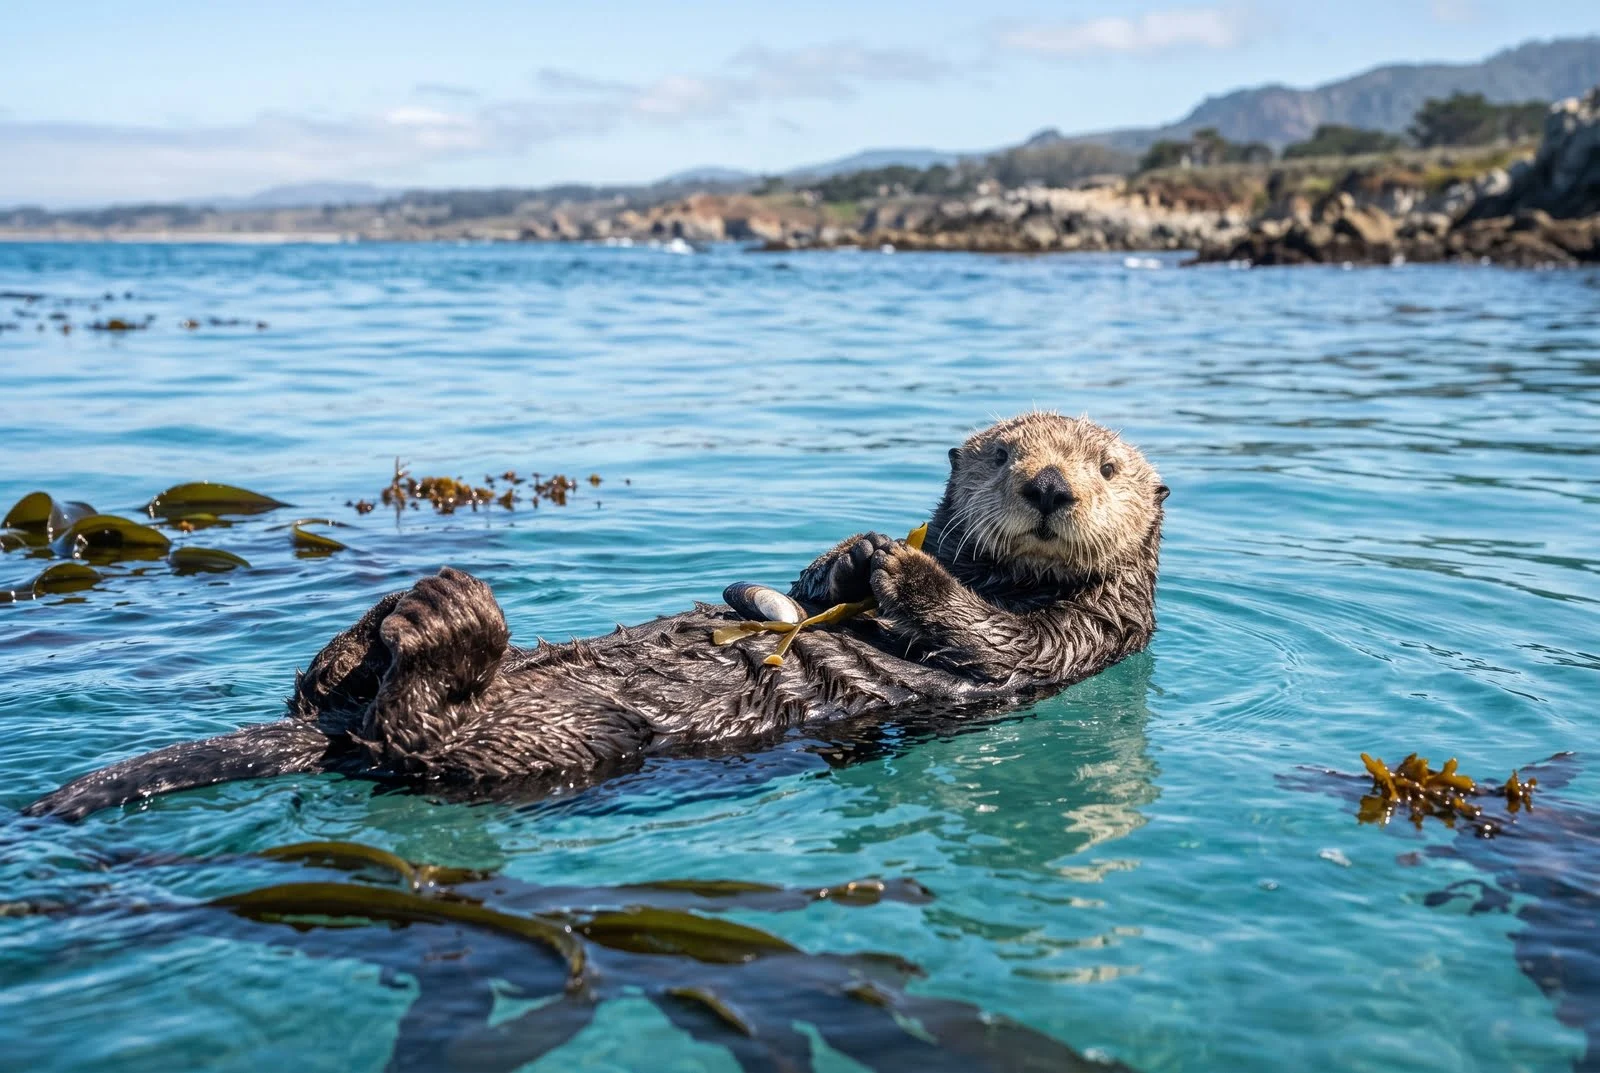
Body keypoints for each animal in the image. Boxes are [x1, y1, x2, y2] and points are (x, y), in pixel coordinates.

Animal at [26, 412, 1168, 821]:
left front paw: (906, 570)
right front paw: (853, 552)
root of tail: (336, 739)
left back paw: (442, 623)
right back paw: (394, 613)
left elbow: (991, 635)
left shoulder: (1084, 640)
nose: (1050, 487)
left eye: (1107, 468)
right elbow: (807, 595)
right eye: (1004, 452)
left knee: (421, 735)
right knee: (328, 692)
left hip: (559, 741)